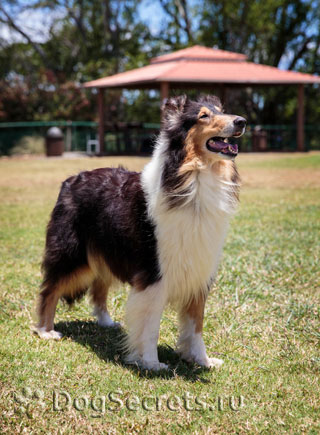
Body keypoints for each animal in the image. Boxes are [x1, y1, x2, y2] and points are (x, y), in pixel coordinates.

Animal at [35, 95, 245, 372]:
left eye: (222, 111)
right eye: (203, 116)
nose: (242, 121)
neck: (193, 177)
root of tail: (71, 179)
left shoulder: (199, 270)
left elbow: (196, 325)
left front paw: (202, 360)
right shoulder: (154, 273)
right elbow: (151, 325)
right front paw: (151, 362)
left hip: (106, 251)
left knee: (99, 286)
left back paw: (105, 321)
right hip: (72, 254)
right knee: (49, 289)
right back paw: (45, 330)